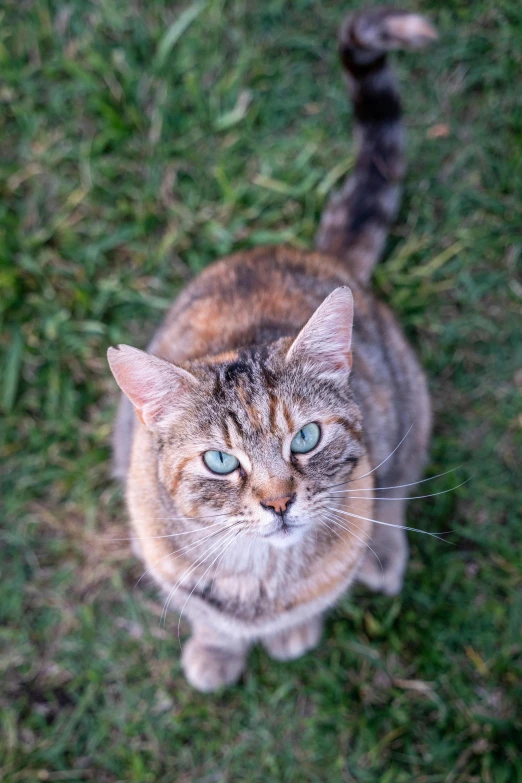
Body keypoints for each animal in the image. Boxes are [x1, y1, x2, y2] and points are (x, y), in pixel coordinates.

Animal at [106, 7, 434, 692]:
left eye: (305, 438)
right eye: (219, 462)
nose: (280, 502)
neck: (260, 575)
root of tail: (317, 254)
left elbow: (311, 598)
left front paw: (291, 634)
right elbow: (210, 616)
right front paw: (217, 651)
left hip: (410, 408)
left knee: (399, 487)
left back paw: (385, 554)